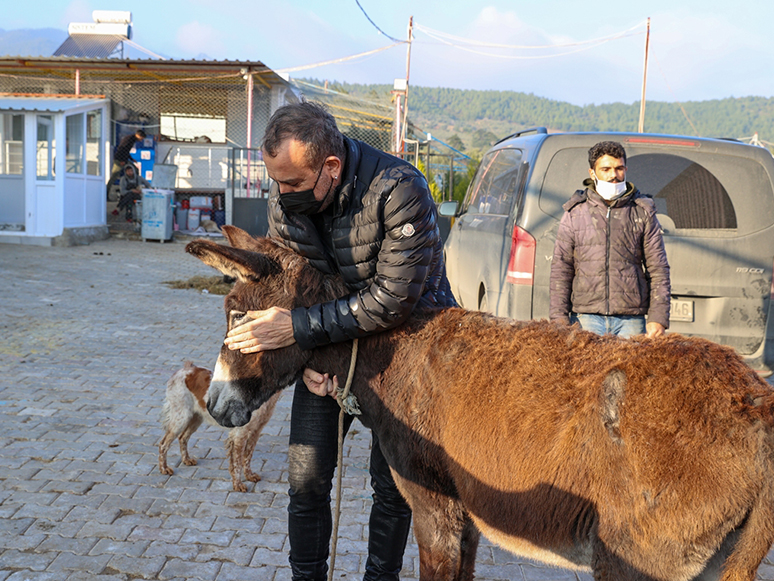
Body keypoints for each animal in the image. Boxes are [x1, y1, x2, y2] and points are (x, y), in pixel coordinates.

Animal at [158, 360, 282, 492]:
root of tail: (185, 369)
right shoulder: (240, 433)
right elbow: (237, 462)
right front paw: (238, 484)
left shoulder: (256, 431)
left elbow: (248, 456)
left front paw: (249, 475)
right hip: (181, 418)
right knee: (163, 444)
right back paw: (164, 468)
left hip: (196, 418)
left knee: (182, 437)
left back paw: (186, 460)